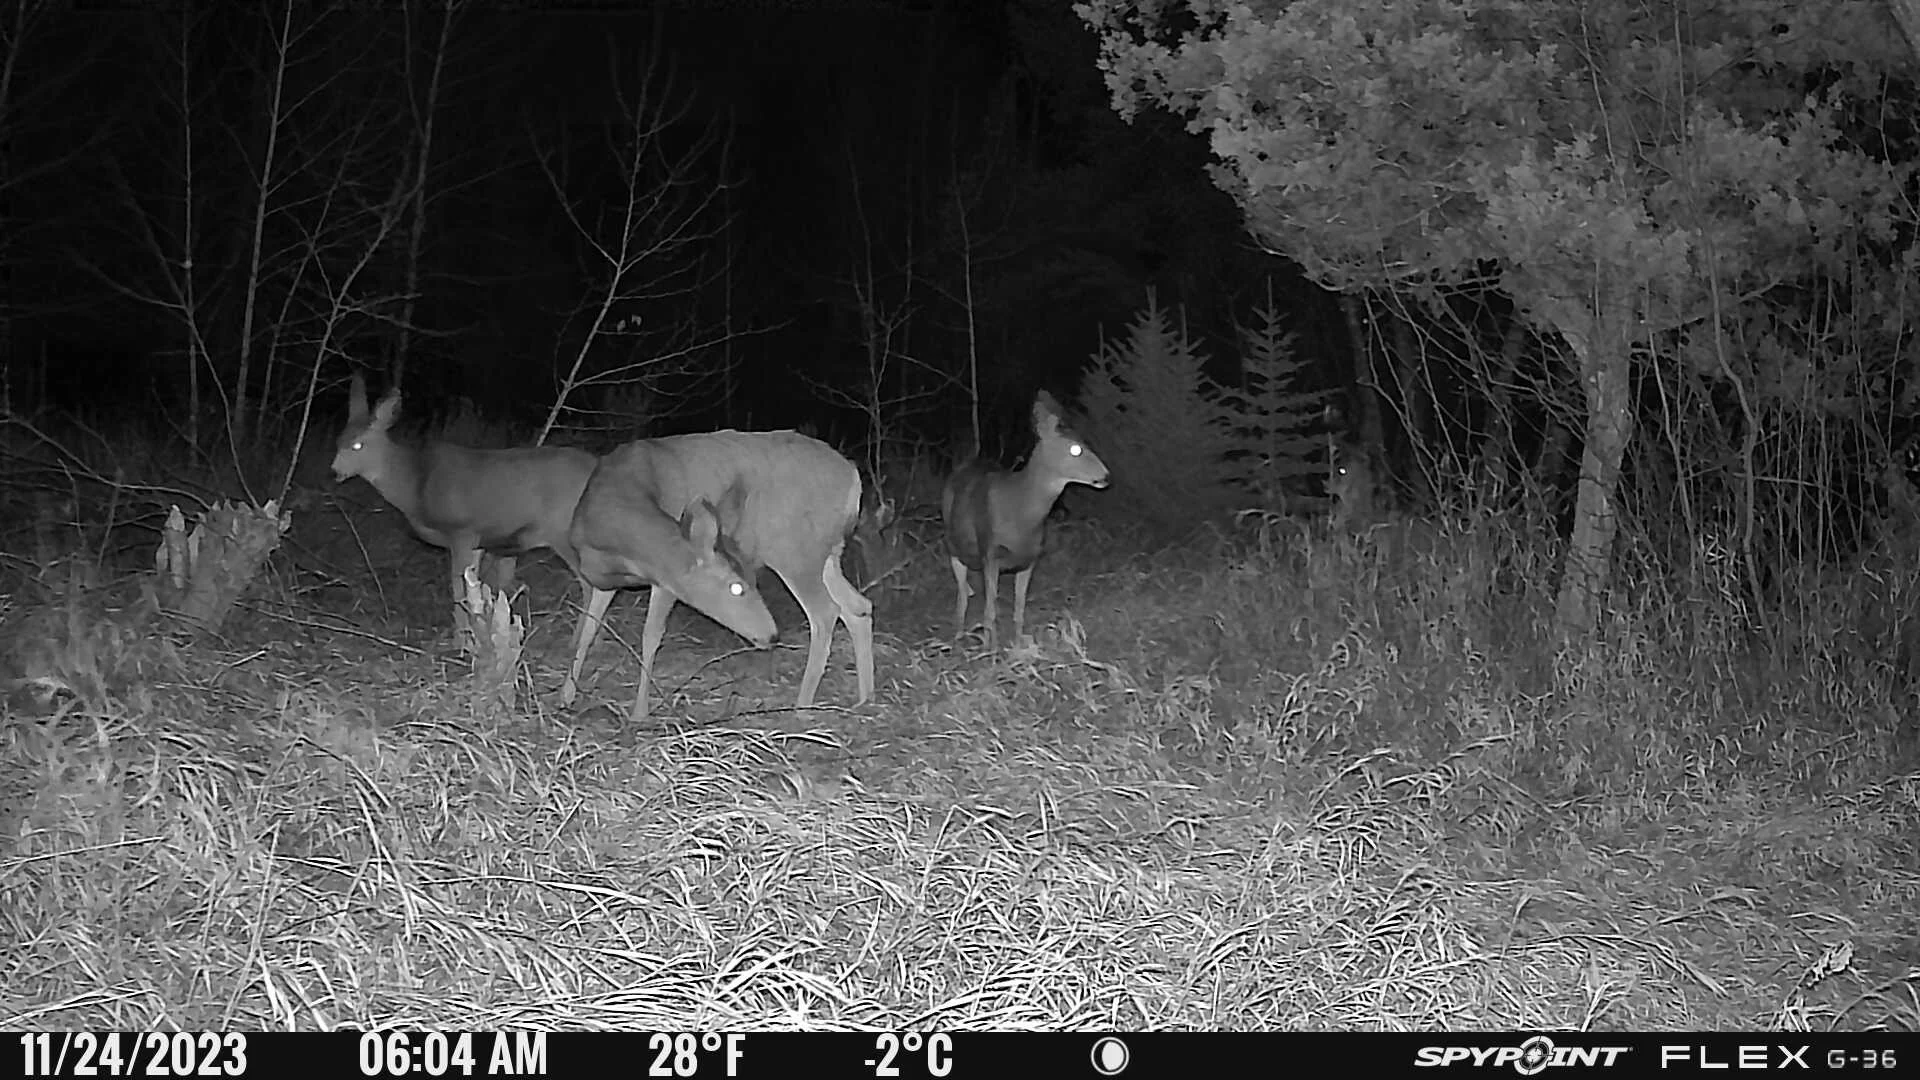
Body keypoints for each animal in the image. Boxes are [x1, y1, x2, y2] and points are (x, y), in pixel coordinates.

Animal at [331, 374, 776, 688]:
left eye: (358, 445)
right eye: (340, 440)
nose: (334, 471)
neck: (416, 483)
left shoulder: (463, 530)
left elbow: (457, 588)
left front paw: (461, 642)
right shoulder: (484, 541)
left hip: (562, 533)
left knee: (586, 583)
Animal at [564, 429, 876, 722]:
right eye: (738, 587)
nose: (772, 635)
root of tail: (853, 476)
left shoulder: (665, 578)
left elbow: (650, 636)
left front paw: (640, 712)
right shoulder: (599, 579)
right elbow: (586, 631)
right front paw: (566, 696)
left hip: (794, 549)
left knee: (826, 612)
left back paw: (801, 706)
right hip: (826, 553)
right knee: (858, 607)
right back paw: (865, 698)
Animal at [941, 390, 1110, 648]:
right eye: (1076, 450)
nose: (1106, 476)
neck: (1021, 513)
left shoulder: (1030, 560)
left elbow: (1019, 609)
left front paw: (1019, 646)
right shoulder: (991, 552)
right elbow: (990, 611)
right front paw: (990, 651)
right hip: (953, 545)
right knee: (961, 593)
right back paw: (957, 637)